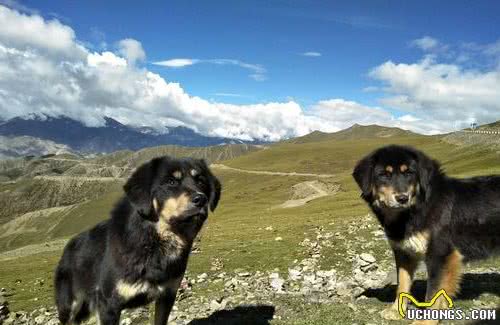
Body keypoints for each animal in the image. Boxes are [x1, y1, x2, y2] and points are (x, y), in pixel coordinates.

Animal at [53, 156, 222, 322]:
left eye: (201, 181)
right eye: (171, 182)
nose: (201, 199)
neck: (154, 242)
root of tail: (68, 247)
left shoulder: (167, 295)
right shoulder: (109, 304)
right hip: (70, 306)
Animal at [352, 146, 500, 322]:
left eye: (409, 173)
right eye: (384, 174)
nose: (402, 198)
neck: (416, 209)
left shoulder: (439, 254)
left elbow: (433, 293)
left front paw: (425, 321)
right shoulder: (403, 253)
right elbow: (402, 284)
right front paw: (396, 311)